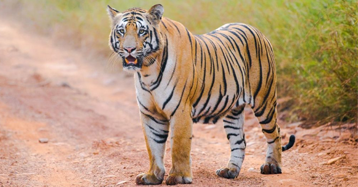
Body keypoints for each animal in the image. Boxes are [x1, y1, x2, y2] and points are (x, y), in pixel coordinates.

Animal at [105, 3, 294, 185]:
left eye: (142, 31)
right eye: (121, 31)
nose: (129, 49)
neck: (147, 70)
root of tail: (256, 30)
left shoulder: (180, 110)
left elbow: (179, 146)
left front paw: (179, 177)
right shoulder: (150, 113)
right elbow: (153, 147)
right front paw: (152, 176)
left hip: (264, 100)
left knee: (275, 133)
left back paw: (272, 165)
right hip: (233, 111)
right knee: (239, 140)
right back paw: (230, 171)